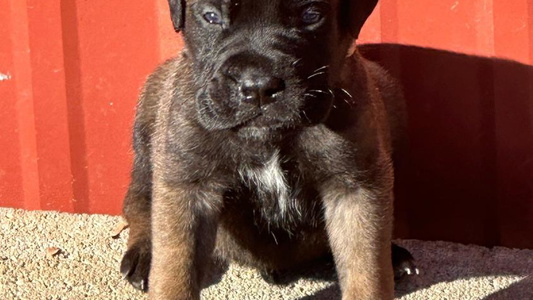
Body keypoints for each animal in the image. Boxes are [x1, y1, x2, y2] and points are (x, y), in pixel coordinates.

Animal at [120, 0, 416, 298]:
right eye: (211, 16)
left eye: (311, 15)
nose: (258, 86)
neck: (269, 136)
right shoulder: (189, 187)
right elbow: (174, 269)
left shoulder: (354, 188)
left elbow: (366, 271)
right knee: (139, 200)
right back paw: (143, 254)